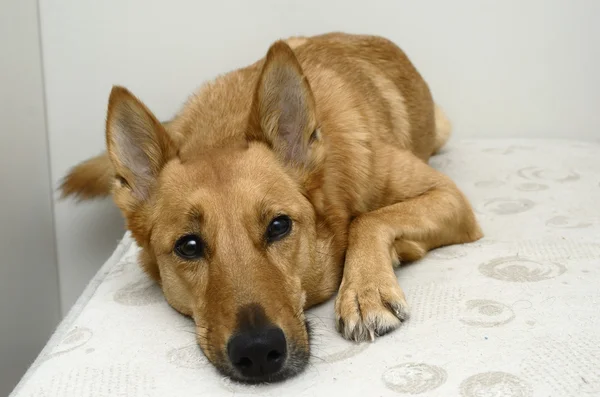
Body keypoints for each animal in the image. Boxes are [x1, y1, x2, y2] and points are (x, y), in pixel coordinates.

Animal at [61, 32, 482, 382]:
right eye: (189, 246)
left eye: (279, 226)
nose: (258, 352)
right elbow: (367, 219)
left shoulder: (448, 196)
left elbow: (369, 220)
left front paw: (365, 291)